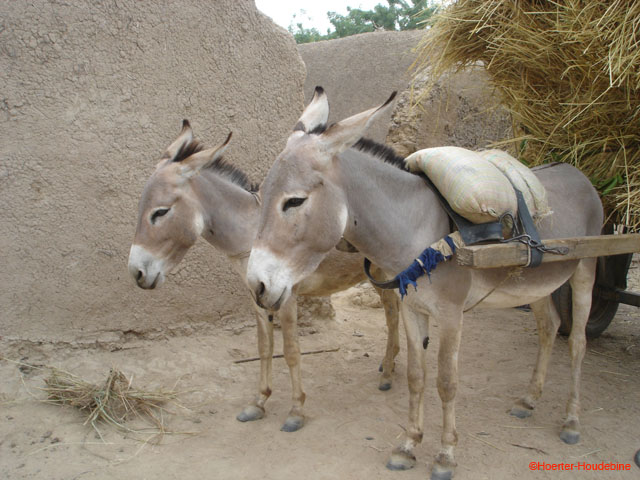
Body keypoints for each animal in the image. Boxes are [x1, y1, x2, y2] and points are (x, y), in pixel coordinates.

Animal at [127, 120, 401, 432]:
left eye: (160, 212)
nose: (136, 273)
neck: (251, 229)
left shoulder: (286, 295)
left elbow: (291, 350)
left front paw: (296, 411)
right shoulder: (257, 296)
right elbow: (264, 346)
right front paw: (258, 402)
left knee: (394, 313)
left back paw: (388, 374)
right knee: (393, 308)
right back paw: (390, 364)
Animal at [246, 88, 603, 479]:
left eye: (294, 201)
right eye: (261, 196)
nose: (255, 286)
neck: (419, 233)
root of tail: (575, 170)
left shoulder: (450, 314)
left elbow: (446, 382)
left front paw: (445, 455)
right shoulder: (411, 307)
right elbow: (417, 375)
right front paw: (408, 444)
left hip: (586, 269)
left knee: (578, 342)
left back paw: (571, 421)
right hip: (535, 281)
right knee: (549, 326)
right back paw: (528, 399)